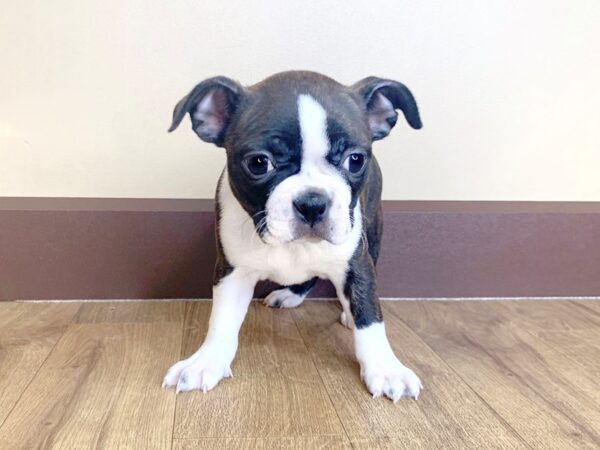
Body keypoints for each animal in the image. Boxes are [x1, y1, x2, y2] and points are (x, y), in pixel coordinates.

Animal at [163, 72, 422, 402]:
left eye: (354, 160)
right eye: (259, 163)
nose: (312, 202)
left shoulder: (357, 264)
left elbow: (369, 315)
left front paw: (386, 368)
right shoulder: (231, 271)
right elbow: (221, 320)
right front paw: (205, 361)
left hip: (374, 231)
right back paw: (290, 294)